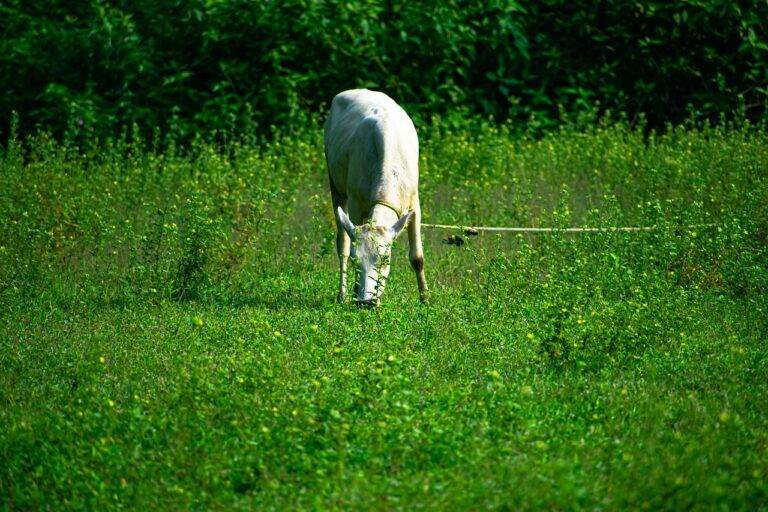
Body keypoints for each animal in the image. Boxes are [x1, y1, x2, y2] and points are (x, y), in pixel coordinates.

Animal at [322, 88, 426, 306]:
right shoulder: (355, 202)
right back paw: (342, 294)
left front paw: (425, 299)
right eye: (356, 259)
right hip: (335, 185)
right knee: (342, 243)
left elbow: (417, 258)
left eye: (385, 259)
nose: (366, 302)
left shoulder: (415, 204)